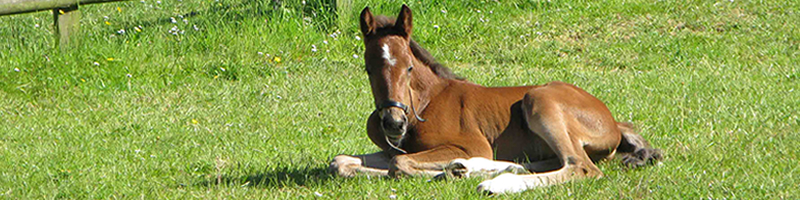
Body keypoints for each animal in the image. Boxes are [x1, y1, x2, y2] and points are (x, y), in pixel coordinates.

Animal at [328, 4, 660, 194]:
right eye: (368, 69)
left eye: (409, 67)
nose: (393, 123)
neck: (424, 103)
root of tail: (614, 122)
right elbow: (341, 162)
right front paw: (453, 170)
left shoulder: (471, 144)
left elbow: (399, 163)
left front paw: (450, 172)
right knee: (544, 162)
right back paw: (480, 170)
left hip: (539, 100)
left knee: (580, 166)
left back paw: (492, 182)